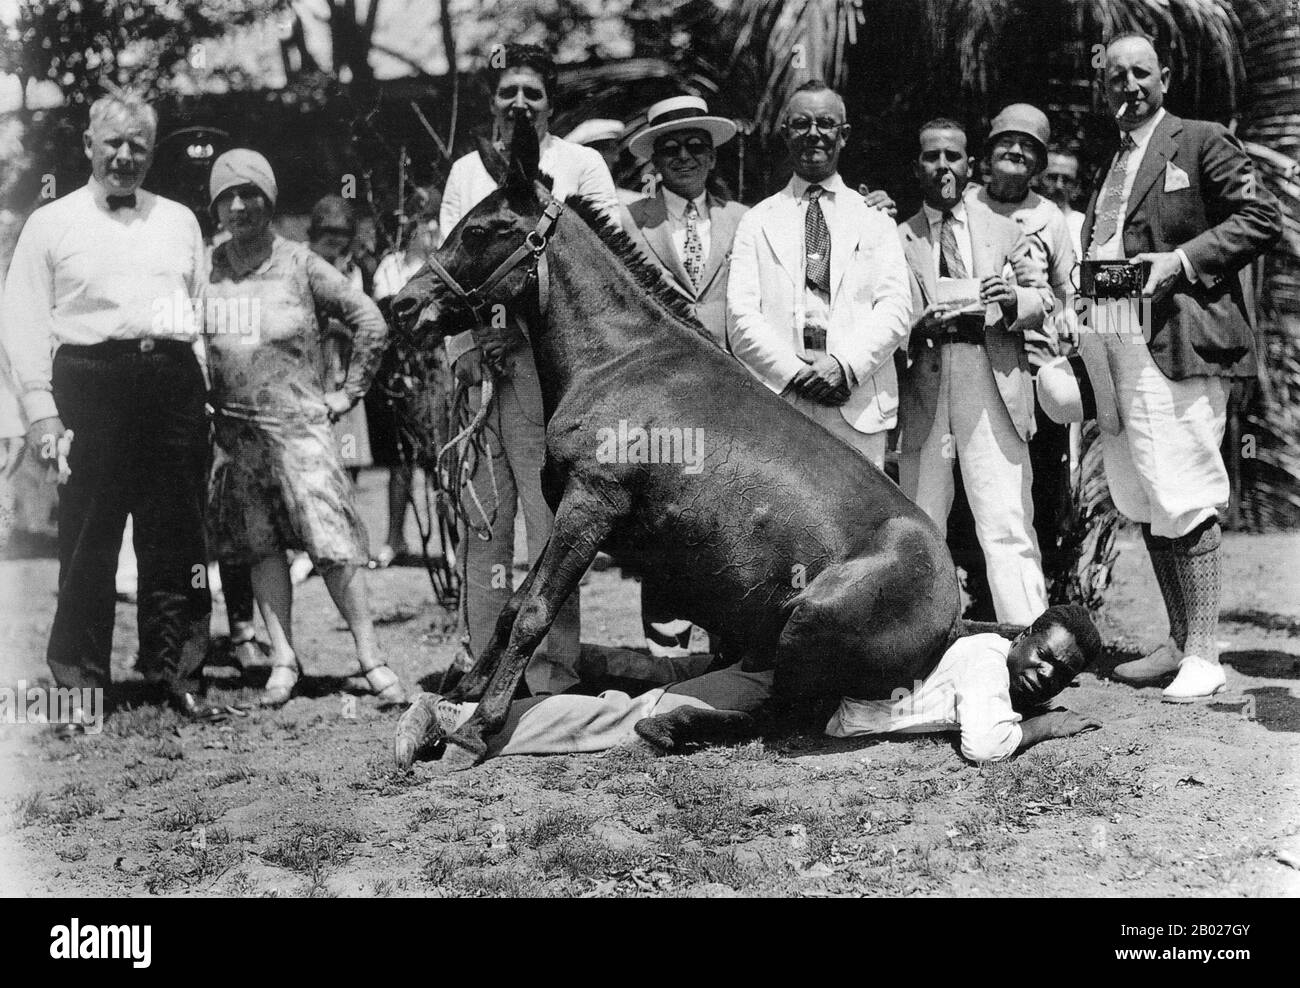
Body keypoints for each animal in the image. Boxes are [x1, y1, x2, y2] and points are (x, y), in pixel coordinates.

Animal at [389, 118, 963, 773]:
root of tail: (951, 616)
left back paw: (672, 725)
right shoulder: (570, 512)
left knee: (789, 713)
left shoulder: (590, 507)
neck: (618, 359)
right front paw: (458, 698)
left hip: (806, 624)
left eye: (481, 229)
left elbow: (534, 615)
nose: (402, 305)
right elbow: (514, 605)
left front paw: (473, 731)